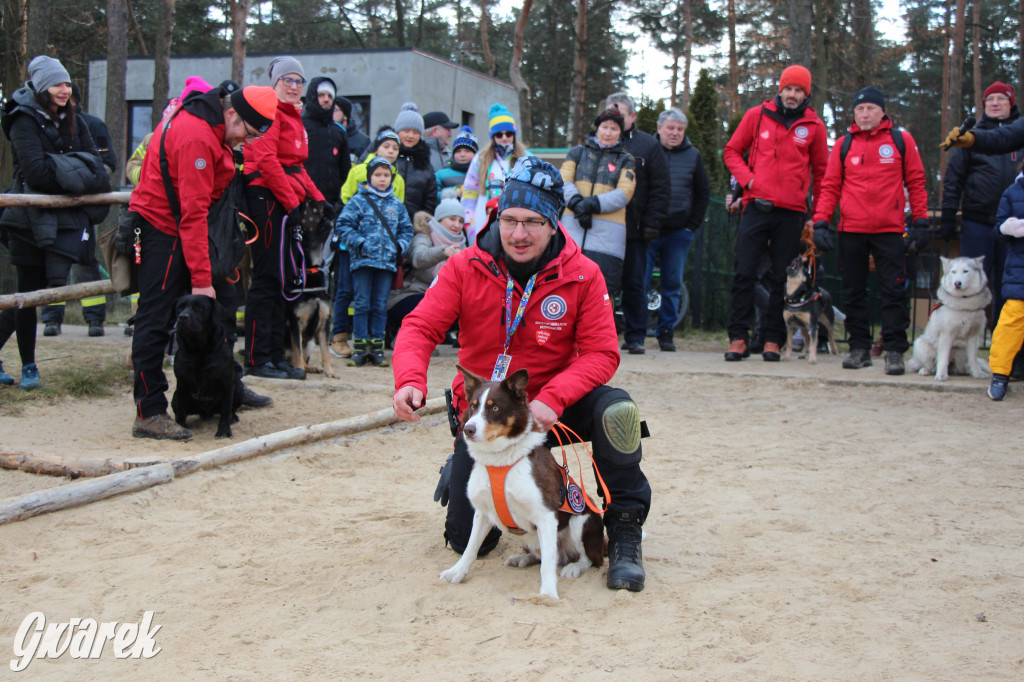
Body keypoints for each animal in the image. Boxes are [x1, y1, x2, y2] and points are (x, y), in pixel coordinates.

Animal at [174, 292, 243, 436]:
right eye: (179, 307)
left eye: (199, 308)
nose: (182, 317)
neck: (199, 349)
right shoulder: (181, 383)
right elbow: (181, 411)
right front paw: (180, 427)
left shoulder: (227, 383)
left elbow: (226, 410)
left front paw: (224, 431)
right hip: (174, 397)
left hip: (239, 388)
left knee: (231, 410)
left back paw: (233, 418)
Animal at [438, 364, 598, 598]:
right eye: (473, 406)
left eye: (495, 408)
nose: (468, 429)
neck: (500, 460)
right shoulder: (482, 513)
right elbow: (470, 547)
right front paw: (457, 572)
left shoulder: (546, 516)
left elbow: (548, 563)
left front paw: (548, 593)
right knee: (541, 554)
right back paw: (522, 558)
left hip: (581, 521)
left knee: (587, 558)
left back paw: (574, 567)